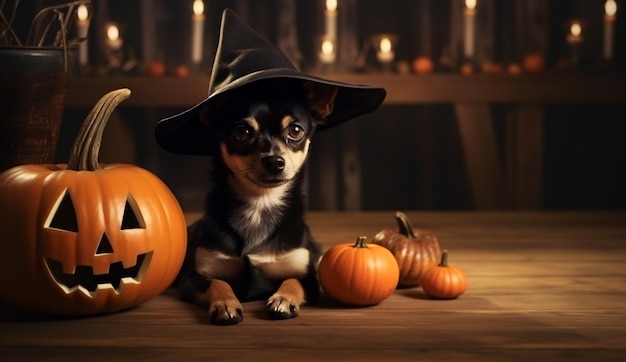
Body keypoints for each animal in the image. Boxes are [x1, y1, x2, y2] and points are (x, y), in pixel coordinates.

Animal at [173, 77, 338, 326]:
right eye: (242, 132)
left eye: (296, 130)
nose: (274, 161)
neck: (260, 205)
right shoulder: (193, 278)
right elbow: (218, 282)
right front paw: (225, 303)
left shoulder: (308, 279)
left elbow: (292, 281)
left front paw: (282, 299)